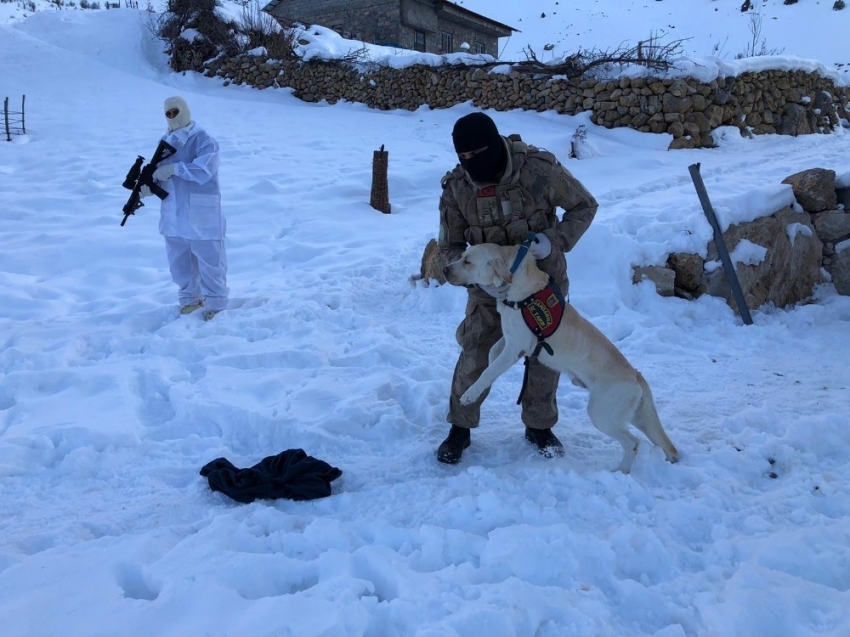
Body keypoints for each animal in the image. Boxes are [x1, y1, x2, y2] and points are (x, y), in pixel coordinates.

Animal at [444, 243, 676, 472]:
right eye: (462, 255)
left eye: (467, 261)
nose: (445, 269)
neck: (518, 284)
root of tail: (636, 375)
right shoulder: (510, 340)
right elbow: (492, 353)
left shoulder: (516, 347)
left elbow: (488, 371)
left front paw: (470, 394)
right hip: (638, 416)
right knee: (655, 441)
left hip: (602, 413)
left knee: (633, 443)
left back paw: (620, 471)